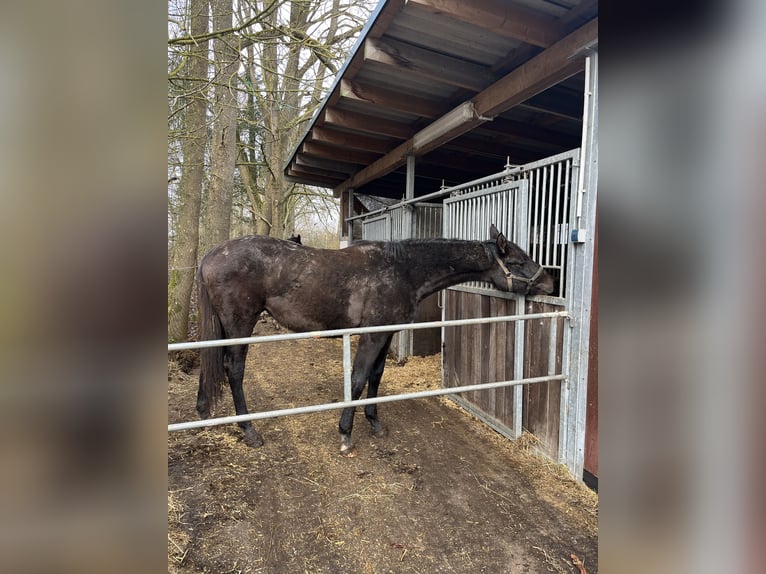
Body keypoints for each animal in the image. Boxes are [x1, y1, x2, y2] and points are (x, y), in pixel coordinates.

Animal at [196, 225, 552, 454]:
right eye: (518, 261)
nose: (550, 282)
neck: (402, 270)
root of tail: (212, 254)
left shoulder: (387, 333)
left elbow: (376, 377)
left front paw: (375, 423)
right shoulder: (371, 335)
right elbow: (357, 379)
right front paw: (345, 433)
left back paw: (204, 413)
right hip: (240, 323)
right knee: (234, 369)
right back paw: (249, 430)